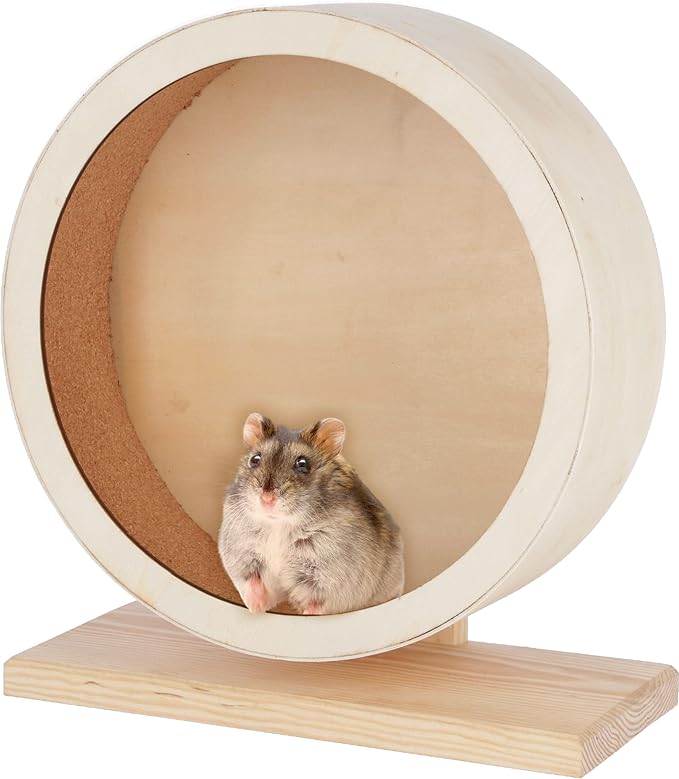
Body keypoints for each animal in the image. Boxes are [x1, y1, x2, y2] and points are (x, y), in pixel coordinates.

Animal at [218, 413, 404, 615]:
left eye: (302, 464)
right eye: (254, 459)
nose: (266, 499)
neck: (279, 524)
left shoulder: (331, 577)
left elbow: (317, 601)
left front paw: (308, 613)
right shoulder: (241, 555)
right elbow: (251, 583)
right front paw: (255, 608)